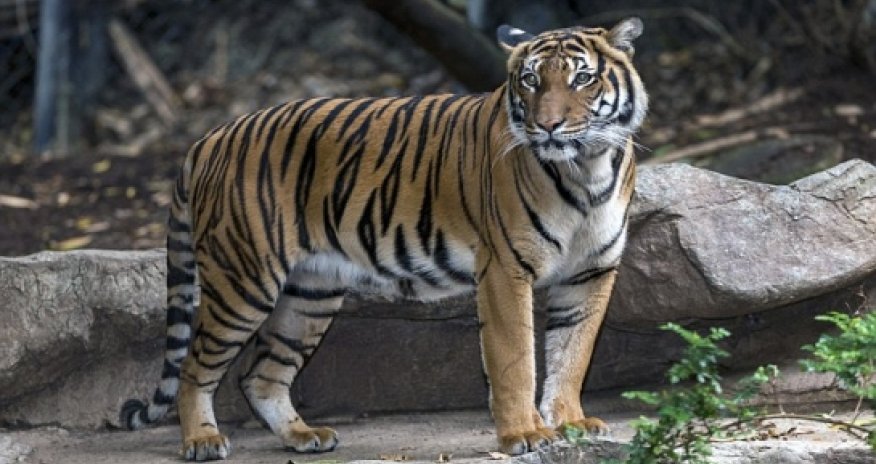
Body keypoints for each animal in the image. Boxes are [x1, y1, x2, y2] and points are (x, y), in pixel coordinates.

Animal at [119, 17, 648, 460]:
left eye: (582, 79)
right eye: (531, 81)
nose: (548, 125)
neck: (587, 169)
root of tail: (210, 137)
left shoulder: (591, 271)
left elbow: (572, 352)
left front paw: (571, 423)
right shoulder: (505, 269)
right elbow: (515, 357)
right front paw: (525, 434)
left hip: (310, 293)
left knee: (260, 375)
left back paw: (304, 436)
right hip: (244, 281)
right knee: (194, 367)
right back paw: (201, 441)